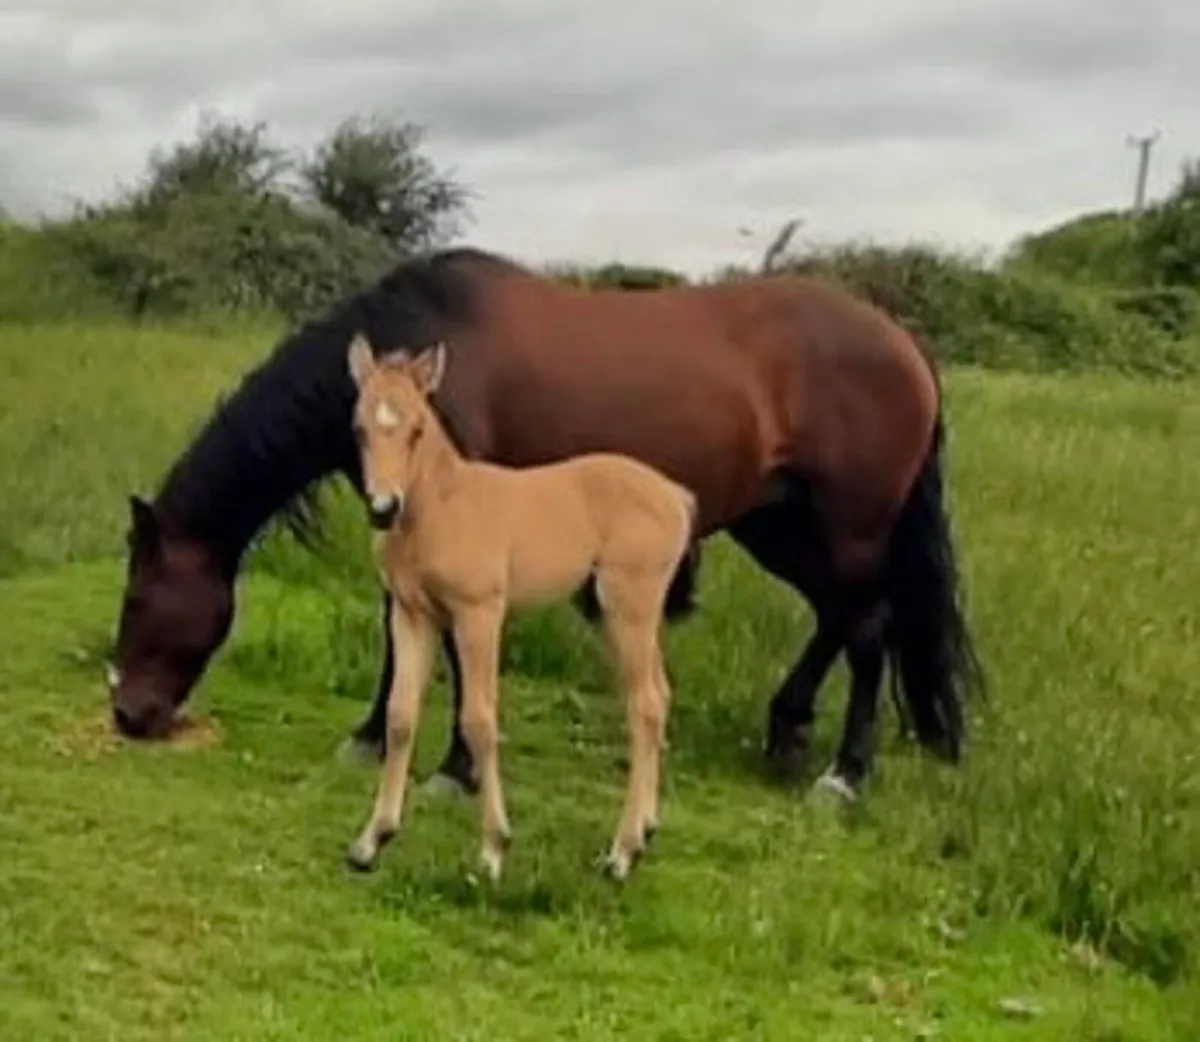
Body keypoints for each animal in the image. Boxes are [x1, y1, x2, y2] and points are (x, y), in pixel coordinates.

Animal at [108, 246, 983, 803]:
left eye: (140, 599)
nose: (127, 714)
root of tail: (905, 341)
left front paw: (455, 771)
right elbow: (402, 631)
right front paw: (371, 737)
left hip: (847, 525)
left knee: (867, 630)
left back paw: (845, 775)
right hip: (782, 525)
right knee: (839, 617)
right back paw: (789, 732)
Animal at [343, 336, 694, 880]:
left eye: (417, 428)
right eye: (359, 428)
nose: (383, 508)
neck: (441, 506)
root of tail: (676, 495)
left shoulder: (479, 613)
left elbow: (480, 720)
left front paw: (493, 850)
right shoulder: (412, 614)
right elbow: (400, 716)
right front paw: (370, 841)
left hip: (628, 606)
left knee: (646, 704)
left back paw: (622, 853)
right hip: (616, 615)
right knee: (659, 692)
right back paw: (646, 830)